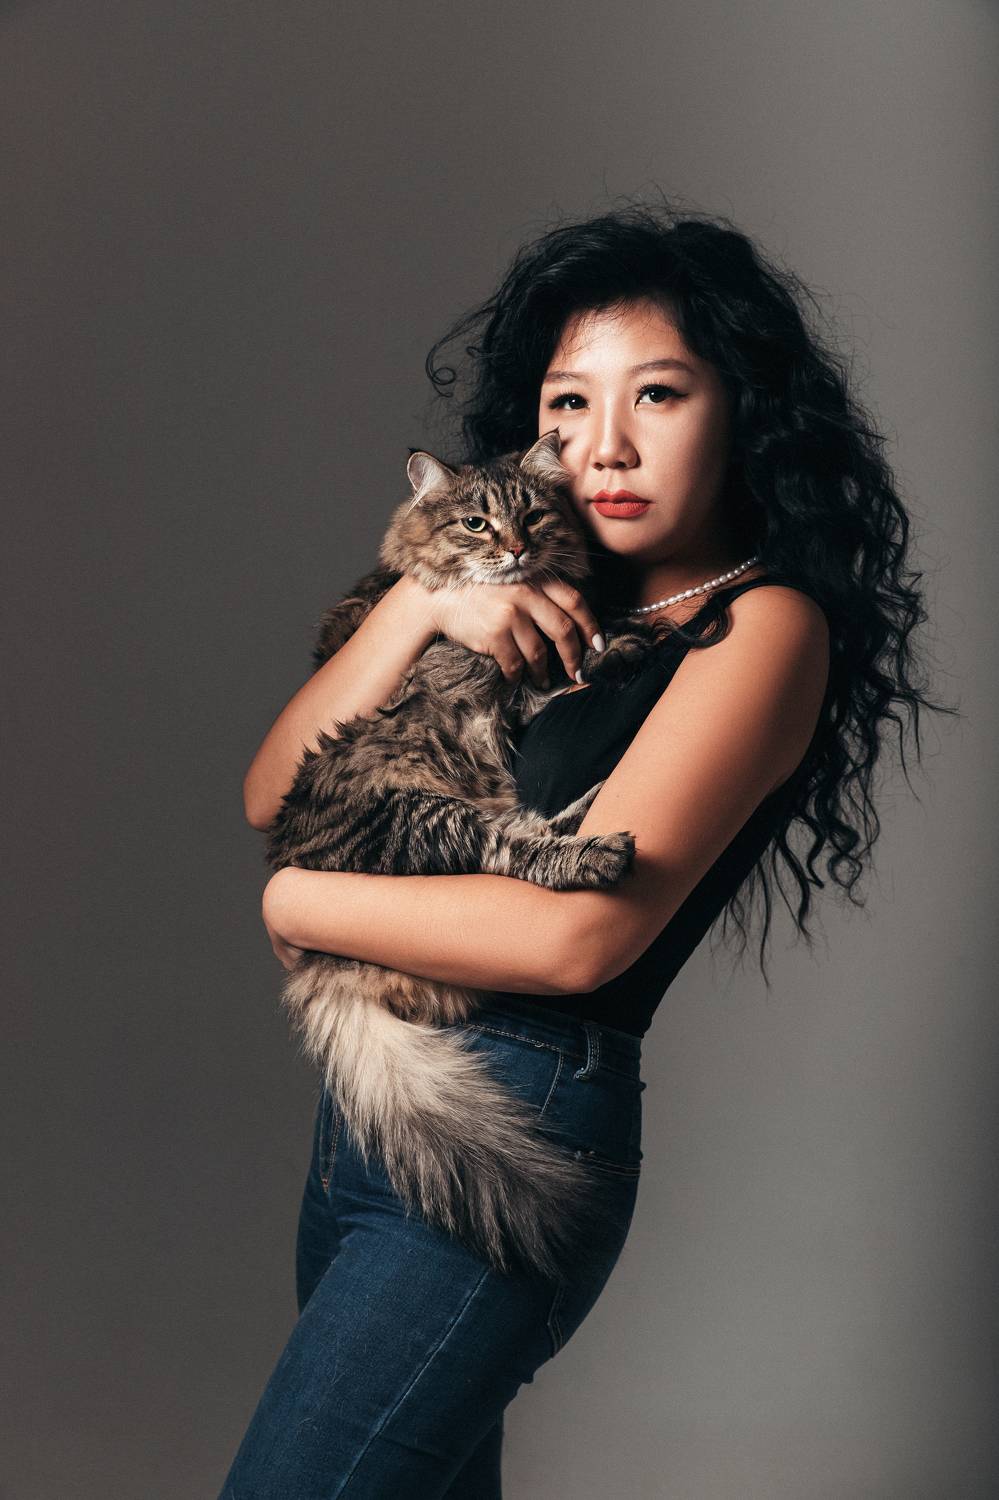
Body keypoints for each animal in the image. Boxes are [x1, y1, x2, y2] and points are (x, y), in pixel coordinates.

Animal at [264, 428, 656, 1281]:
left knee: (526, 822)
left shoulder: (525, 686)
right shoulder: (463, 663)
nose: (513, 549)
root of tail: (323, 970)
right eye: (476, 523)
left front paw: (621, 643)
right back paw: (596, 846)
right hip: (421, 811)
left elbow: (569, 670)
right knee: (515, 846)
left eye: (532, 515)